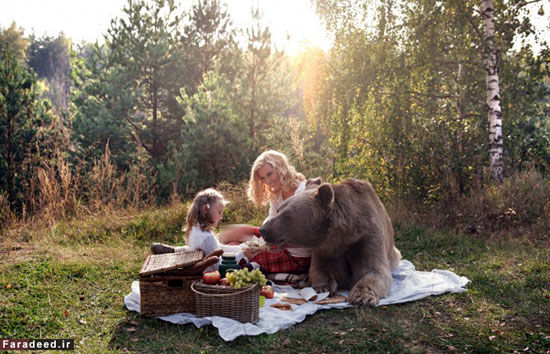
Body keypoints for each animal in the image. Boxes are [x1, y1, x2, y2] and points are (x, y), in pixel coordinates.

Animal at [260, 178, 404, 306]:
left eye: (287, 215)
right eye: (278, 209)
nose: (263, 230)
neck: (343, 236)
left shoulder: (367, 237)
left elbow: (374, 270)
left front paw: (361, 297)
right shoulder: (327, 249)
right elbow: (321, 268)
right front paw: (323, 286)